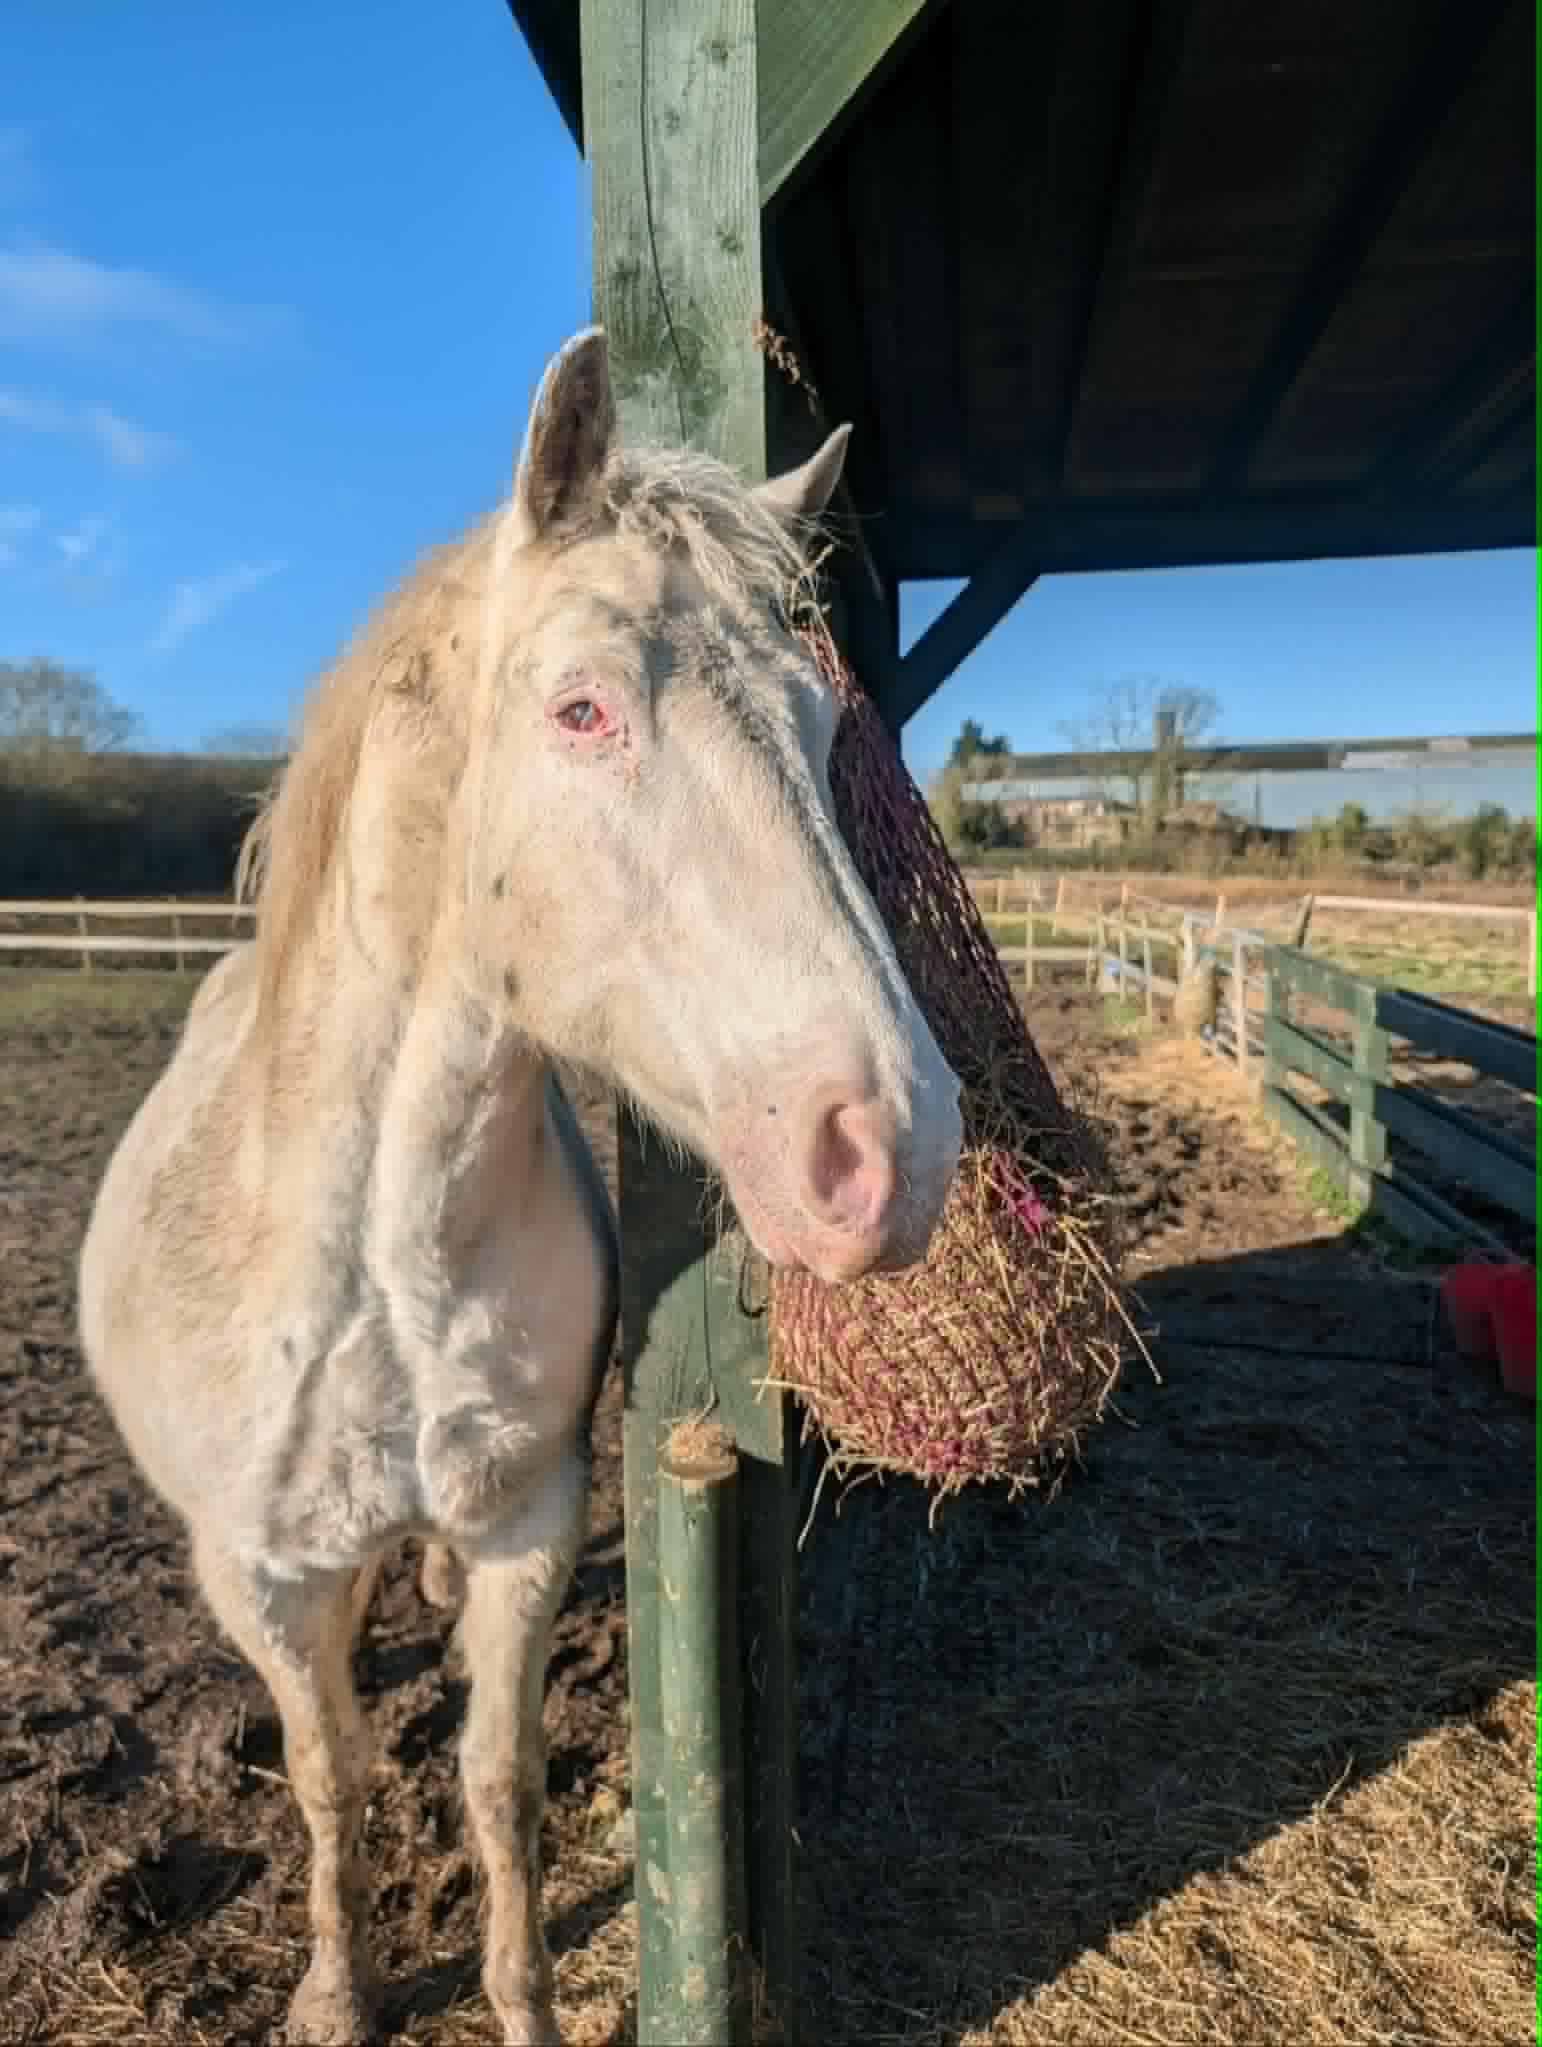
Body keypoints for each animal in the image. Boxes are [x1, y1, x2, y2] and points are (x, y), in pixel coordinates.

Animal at [77, 327, 963, 2045]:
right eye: (580, 709)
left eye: (822, 730)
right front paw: (339, 1989)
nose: (891, 1148)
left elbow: (499, 1781)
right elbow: (333, 1780)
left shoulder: (527, 1525)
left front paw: (526, 2002)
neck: (370, 1258)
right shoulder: (257, 1576)